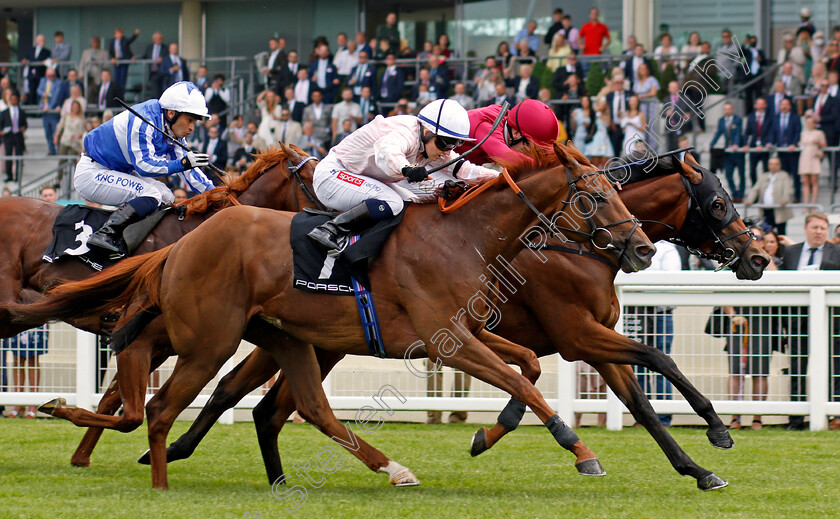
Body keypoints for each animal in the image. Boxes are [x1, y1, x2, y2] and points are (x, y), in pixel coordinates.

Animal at [13, 142, 656, 488]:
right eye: (595, 196)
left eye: (618, 190)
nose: (644, 249)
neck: (463, 236)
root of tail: (186, 239)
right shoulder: (446, 337)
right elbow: (529, 383)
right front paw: (581, 450)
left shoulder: (465, 332)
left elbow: (528, 369)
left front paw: (490, 432)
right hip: (210, 339)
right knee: (160, 401)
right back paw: (153, 469)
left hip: (269, 336)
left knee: (296, 406)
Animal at [135, 153, 772, 492]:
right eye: (718, 204)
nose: (759, 257)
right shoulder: (573, 334)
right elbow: (646, 362)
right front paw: (714, 432)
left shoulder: (578, 340)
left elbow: (632, 400)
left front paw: (698, 468)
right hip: (289, 338)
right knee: (234, 392)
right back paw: (171, 452)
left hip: (314, 341)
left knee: (267, 405)